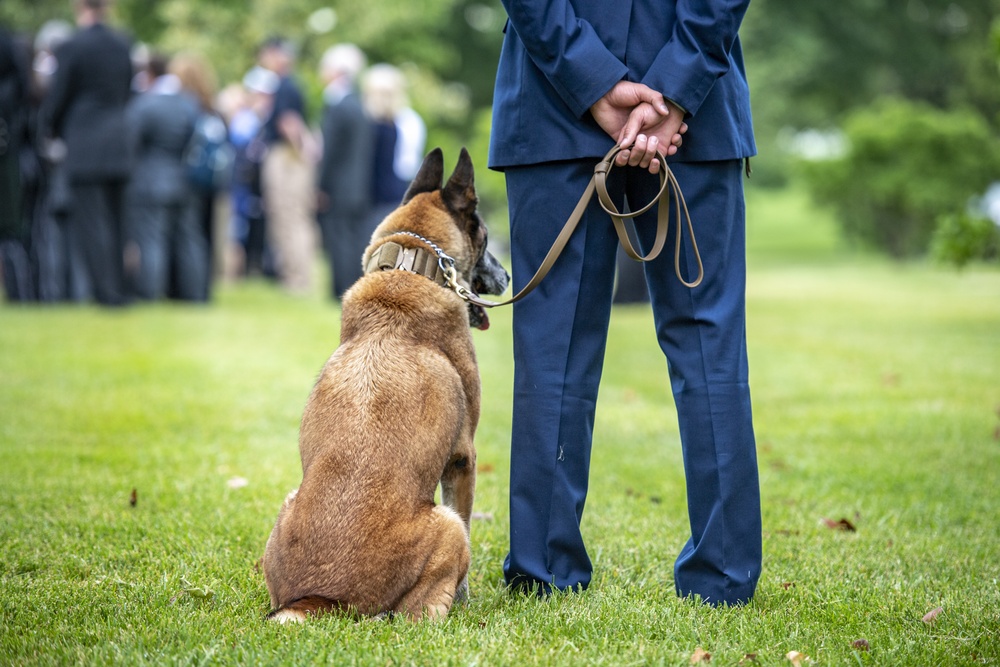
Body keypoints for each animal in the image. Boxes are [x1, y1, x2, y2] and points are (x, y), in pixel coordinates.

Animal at [262, 149, 508, 624]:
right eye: (487, 238)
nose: (507, 276)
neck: (411, 268)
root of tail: (319, 598)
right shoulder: (463, 458)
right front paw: (467, 596)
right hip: (448, 526)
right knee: (419, 612)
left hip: (286, 502)